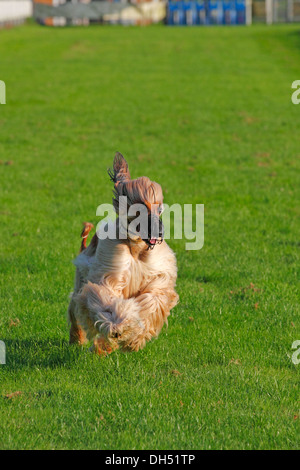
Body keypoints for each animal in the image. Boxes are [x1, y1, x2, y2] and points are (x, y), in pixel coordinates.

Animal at [68, 154, 178, 356]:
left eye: (159, 209)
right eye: (140, 209)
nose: (159, 232)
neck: (137, 248)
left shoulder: (157, 276)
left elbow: (152, 299)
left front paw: (133, 339)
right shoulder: (111, 268)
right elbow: (106, 296)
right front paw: (117, 327)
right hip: (80, 280)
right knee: (75, 309)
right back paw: (78, 339)